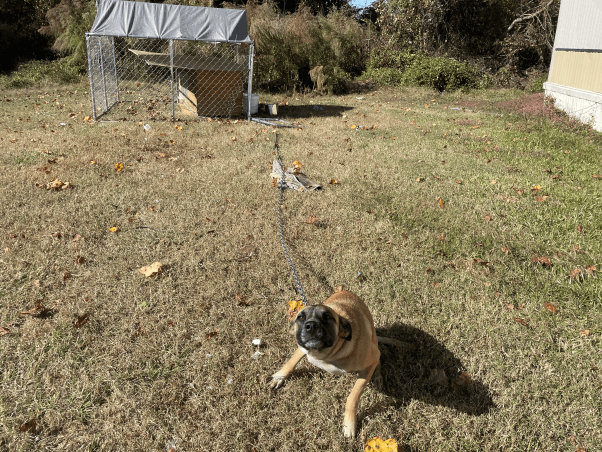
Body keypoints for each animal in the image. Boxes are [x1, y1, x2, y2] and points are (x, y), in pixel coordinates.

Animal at [270, 290, 380, 438]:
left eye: (327, 317)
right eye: (300, 317)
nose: (311, 326)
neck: (328, 354)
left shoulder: (372, 359)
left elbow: (353, 396)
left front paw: (349, 424)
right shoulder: (302, 348)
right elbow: (291, 361)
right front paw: (279, 377)